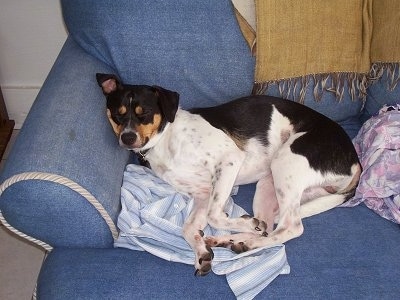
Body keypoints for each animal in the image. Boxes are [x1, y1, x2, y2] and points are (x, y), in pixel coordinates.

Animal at [97, 74, 362, 276]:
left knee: (290, 227)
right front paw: (201, 253)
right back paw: (233, 241)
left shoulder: (229, 160)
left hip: (285, 163)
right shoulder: (203, 193)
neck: (165, 138)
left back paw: (248, 239)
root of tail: (355, 159)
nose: (127, 138)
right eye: (118, 114)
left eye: (145, 112)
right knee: (269, 226)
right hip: (269, 184)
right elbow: (188, 228)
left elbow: (214, 215)